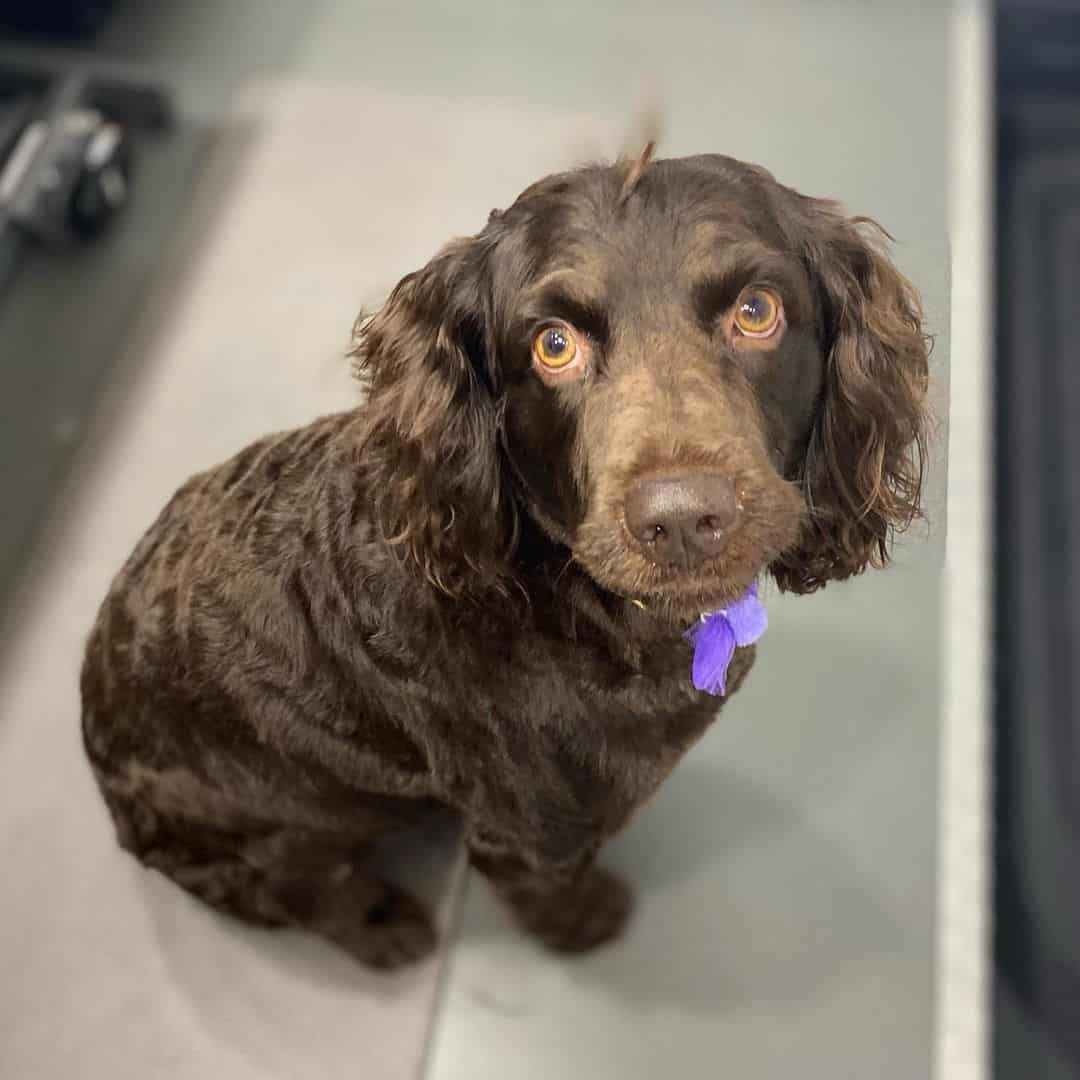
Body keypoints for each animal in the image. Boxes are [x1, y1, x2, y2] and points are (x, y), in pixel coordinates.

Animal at [82, 154, 928, 972]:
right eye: (553, 345)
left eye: (756, 312)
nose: (685, 519)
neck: (567, 602)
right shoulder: (527, 841)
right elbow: (555, 894)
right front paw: (589, 923)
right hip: (279, 839)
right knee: (308, 893)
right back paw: (384, 928)